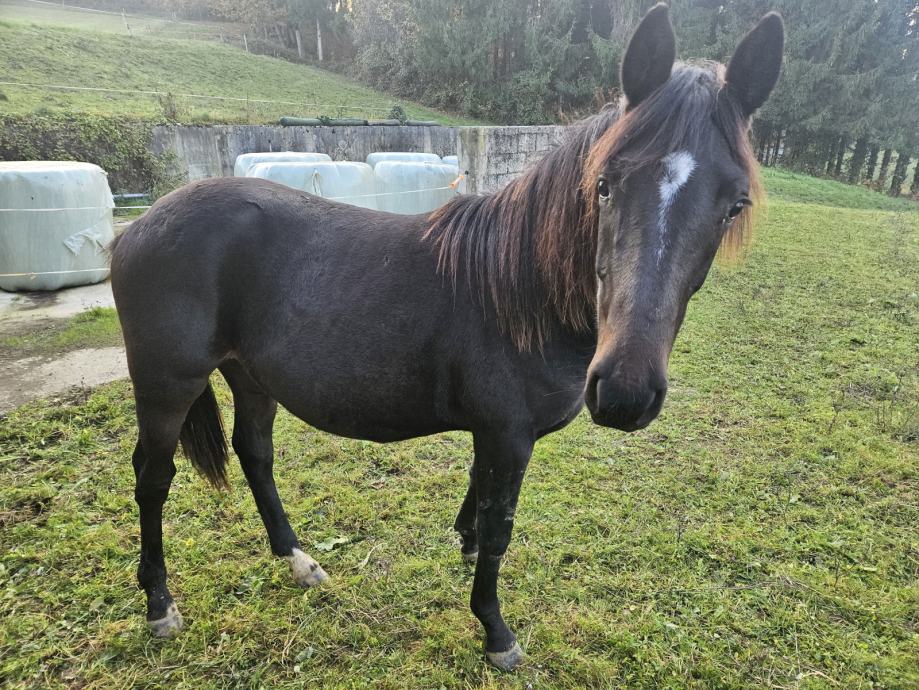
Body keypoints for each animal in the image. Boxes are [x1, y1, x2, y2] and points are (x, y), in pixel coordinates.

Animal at [110, 4, 784, 671]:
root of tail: (141, 224)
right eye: (604, 185)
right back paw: (160, 604)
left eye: (734, 204)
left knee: (255, 454)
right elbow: (499, 527)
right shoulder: (508, 436)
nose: (625, 393)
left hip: (250, 375)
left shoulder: (494, 434)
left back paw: (298, 561)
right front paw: (495, 630)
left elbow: (478, 507)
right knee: (153, 477)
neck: (520, 292)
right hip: (168, 383)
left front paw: (464, 548)